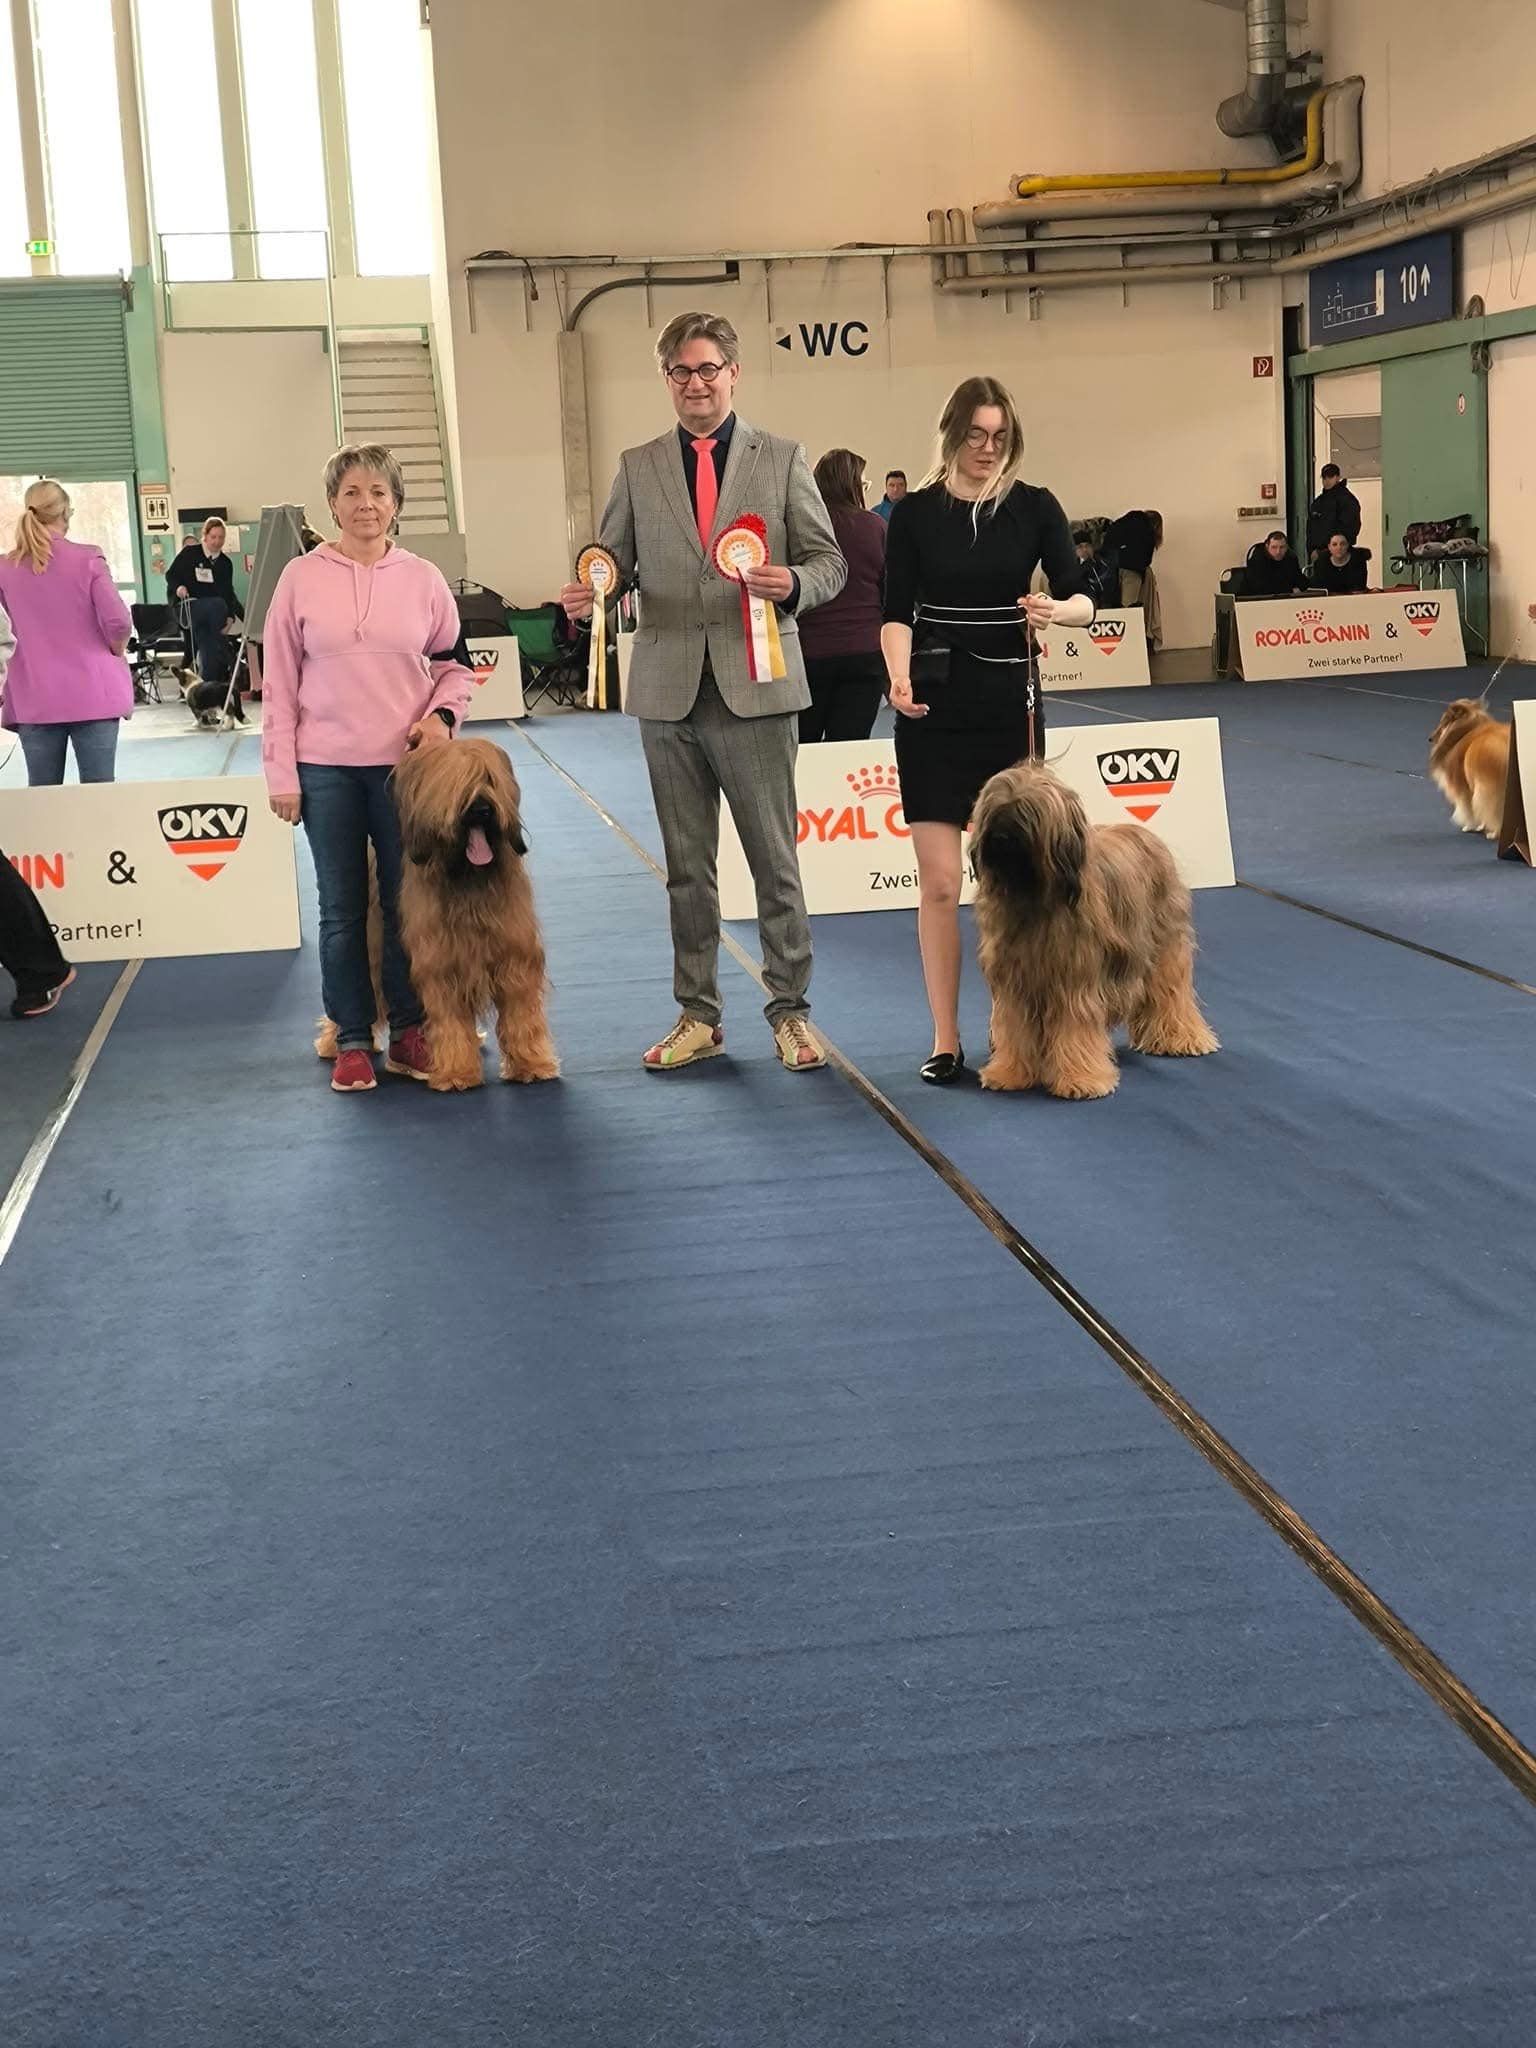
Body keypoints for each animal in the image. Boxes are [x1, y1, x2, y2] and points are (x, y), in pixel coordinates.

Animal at [970, 763, 1218, 1100]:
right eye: (995, 809)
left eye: (1028, 811)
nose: (1000, 837)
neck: (1032, 900)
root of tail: (1145, 833)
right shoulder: (1015, 984)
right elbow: (1015, 1029)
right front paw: (1009, 1073)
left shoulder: (1075, 981)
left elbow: (1075, 1026)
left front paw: (1080, 1080)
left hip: (1165, 944)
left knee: (1171, 991)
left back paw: (1181, 1037)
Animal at [1428, 698, 1510, 840]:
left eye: (1444, 721)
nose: (1430, 738)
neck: (1465, 730)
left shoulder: (1464, 787)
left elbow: (1468, 808)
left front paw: (1470, 826)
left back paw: (1494, 833)